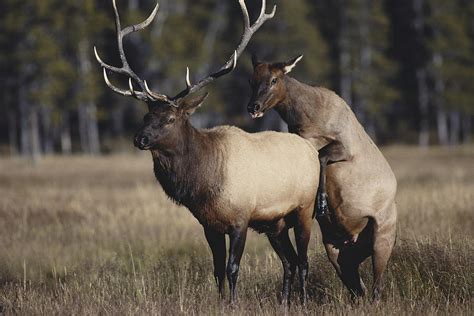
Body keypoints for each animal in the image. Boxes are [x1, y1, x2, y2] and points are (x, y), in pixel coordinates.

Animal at [94, 0, 320, 306]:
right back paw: (284, 302)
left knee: (304, 260)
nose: (139, 138)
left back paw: (303, 300)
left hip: (304, 209)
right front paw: (220, 301)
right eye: (145, 115)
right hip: (276, 223)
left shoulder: (240, 219)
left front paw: (234, 304)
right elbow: (217, 269)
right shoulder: (209, 224)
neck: (203, 183)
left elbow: (233, 267)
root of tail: (312, 149)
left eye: (170, 119)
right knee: (290, 261)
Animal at [246, 55, 398, 302]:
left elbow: (321, 157)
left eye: (274, 79)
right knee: (358, 288)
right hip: (336, 250)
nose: (253, 106)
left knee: (376, 288)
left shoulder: (345, 147)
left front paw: (323, 202)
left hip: (383, 236)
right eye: (252, 80)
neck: (305, 120)